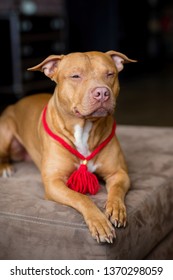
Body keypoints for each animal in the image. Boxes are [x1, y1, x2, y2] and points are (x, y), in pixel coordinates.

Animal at [0, 50, 136, 243]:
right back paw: (5, 167)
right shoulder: (54, 183)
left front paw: (116, 209)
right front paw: (99, 222)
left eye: (110, 74)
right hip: (6, 129)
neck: (85, 129)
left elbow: (116, 191)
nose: (102, 92)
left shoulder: (119, 174)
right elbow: (81, 198)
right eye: (75, 76)